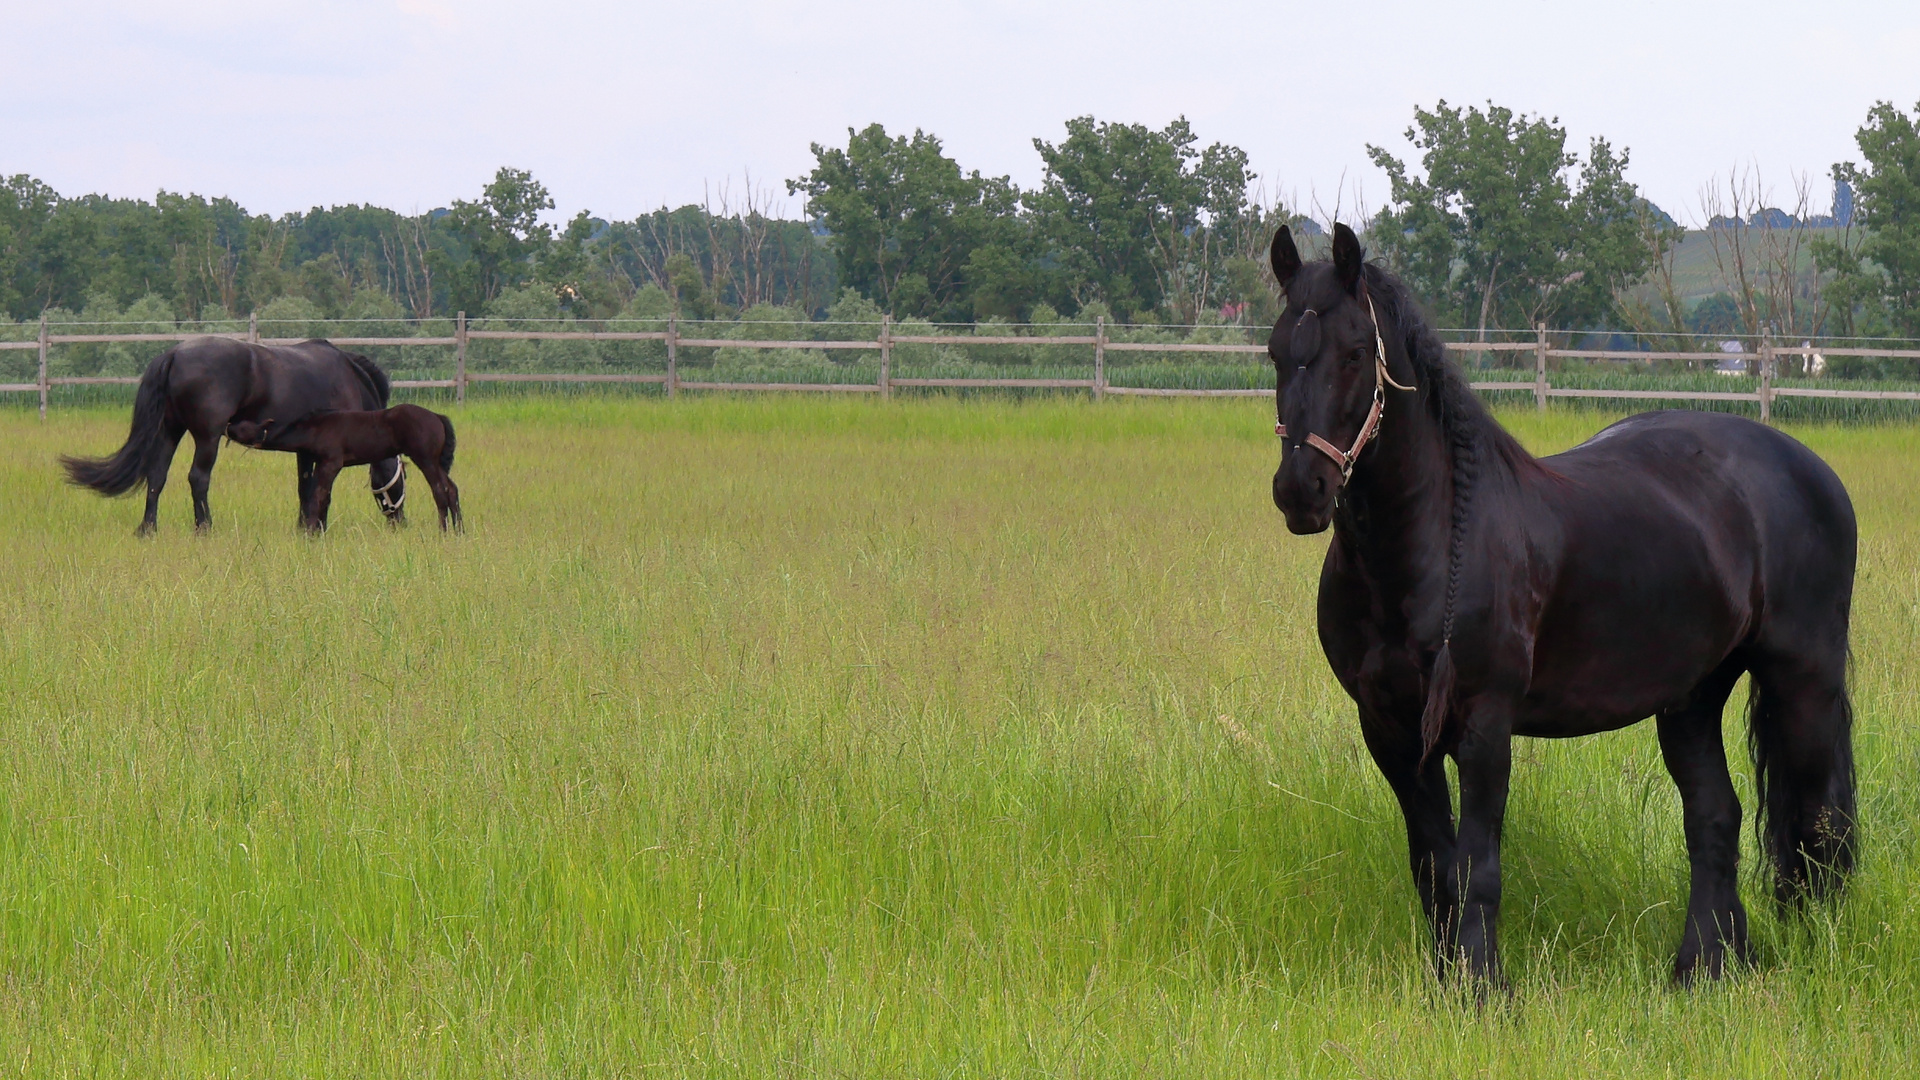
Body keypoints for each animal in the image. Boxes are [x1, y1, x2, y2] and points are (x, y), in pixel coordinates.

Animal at [61, 336, 405, 534]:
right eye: (403, 477)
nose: (400, 522)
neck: (348, 379)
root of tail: (174, 354)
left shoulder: (306, 451)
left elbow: (304, 488)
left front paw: (301, 528)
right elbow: (317, 490)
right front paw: (314, 528)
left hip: (170, 430)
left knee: (157, 476)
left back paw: (148, 529)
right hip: (207, 437)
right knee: (198, 478)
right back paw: (204, 527)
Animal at [1274, 222, 1858, 980]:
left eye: (1352, 353)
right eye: (1275, 351)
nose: (1301, 490)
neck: (1435, 540)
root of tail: (1809, 468)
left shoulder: (1485, 726)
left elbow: (1478, 868)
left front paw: (1483, 988)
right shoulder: (1391, 731)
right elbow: (1433, 867)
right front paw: (1446, 982)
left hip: (1803, 680)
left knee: (1819, 824)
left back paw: (1811, 956)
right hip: (1692, 696)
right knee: (1716, 816)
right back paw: (1704, 967)